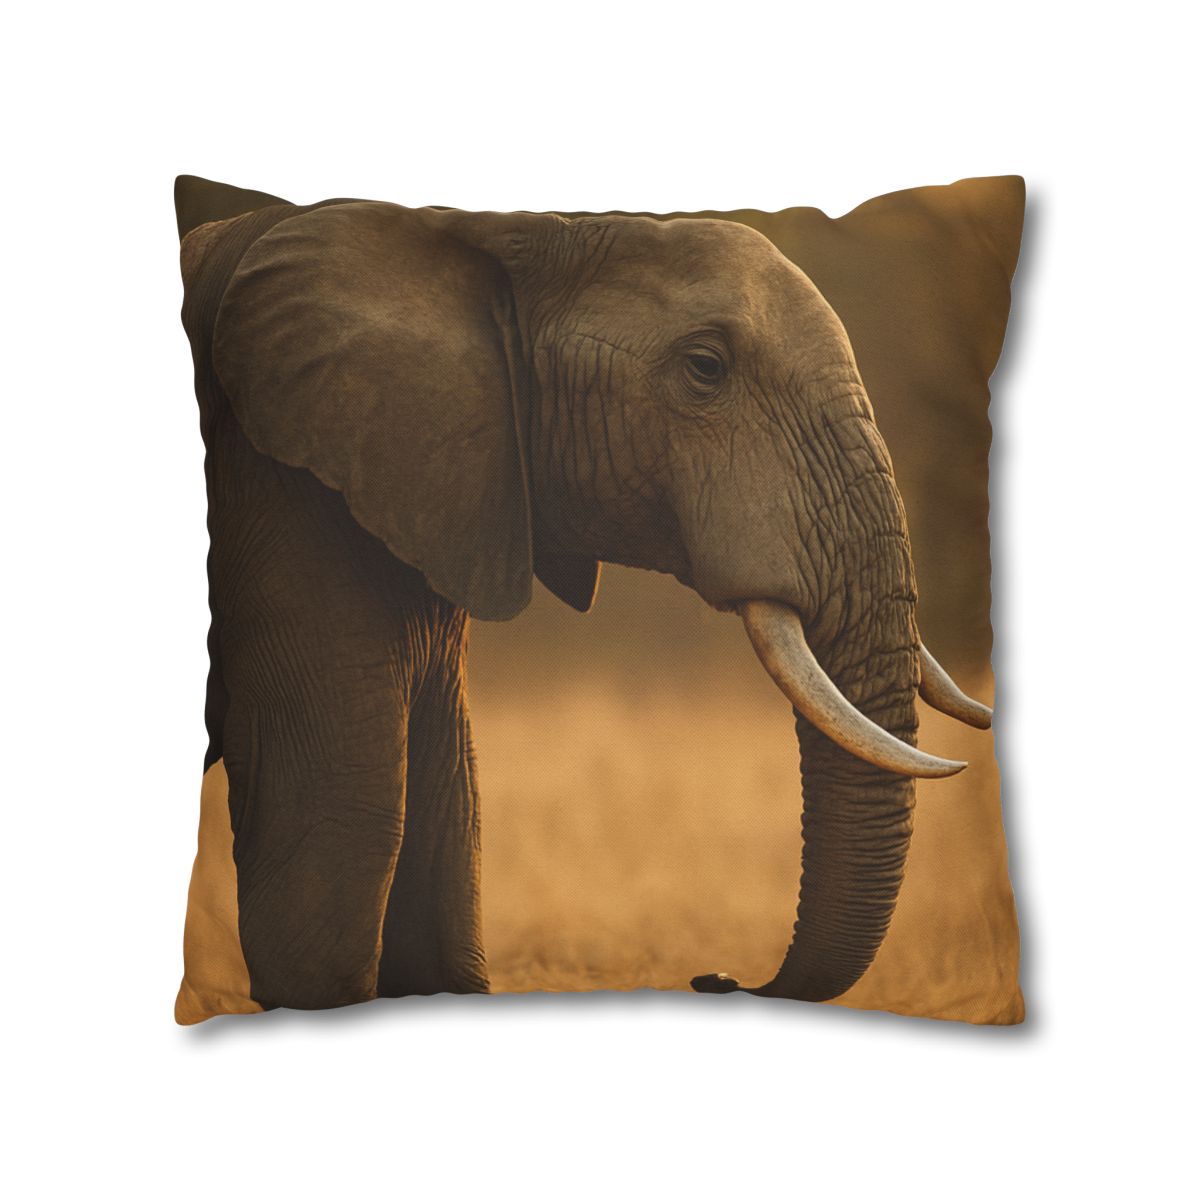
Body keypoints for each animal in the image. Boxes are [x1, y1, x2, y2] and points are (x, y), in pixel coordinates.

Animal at [176, 175, 992, 1013]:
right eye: (706, 367)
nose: (719, 976)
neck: (514, 237)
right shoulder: (286, 500)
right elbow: (341, 825)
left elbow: (446, 823)